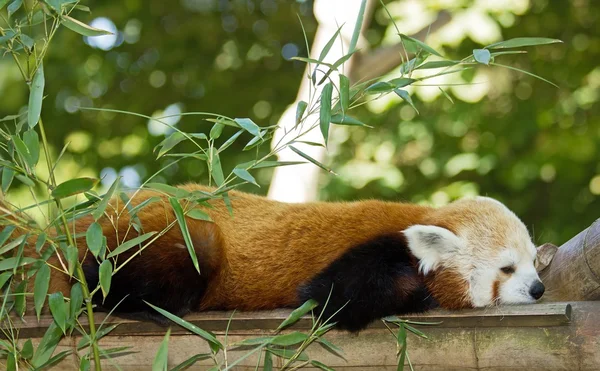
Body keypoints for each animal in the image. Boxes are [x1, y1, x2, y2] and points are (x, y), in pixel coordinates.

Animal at [27, 185, 544, 332]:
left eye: (534, 264)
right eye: (506, 268)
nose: (539, 289)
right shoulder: (370, 254)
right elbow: (330, 297)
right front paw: (423, 295)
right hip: (178, 237)